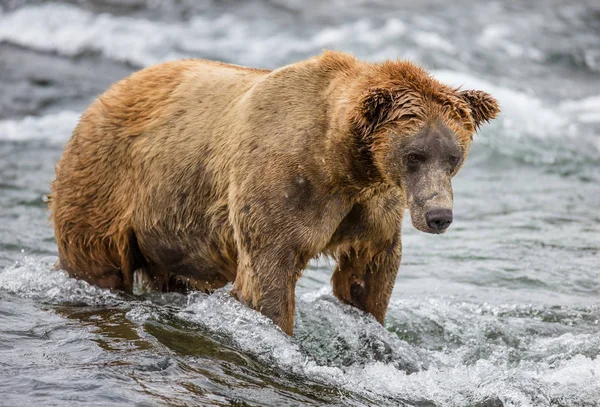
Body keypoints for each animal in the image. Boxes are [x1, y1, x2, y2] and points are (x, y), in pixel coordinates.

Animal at [50, 51, 496, 334]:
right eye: (415, 154)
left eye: (453, 156)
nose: (439, 216)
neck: (342, 164)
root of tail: (104, 95)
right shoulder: (282, 187)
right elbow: (268, 275)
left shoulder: (372, 207)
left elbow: (368, 270)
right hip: (106, 186)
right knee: (98, 261)